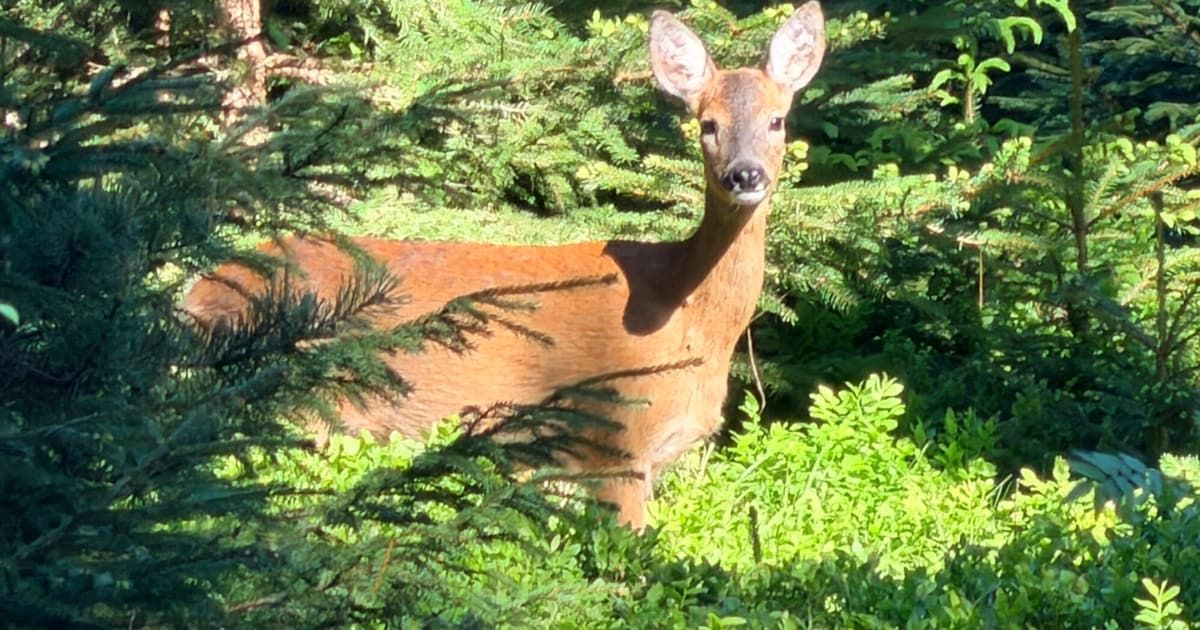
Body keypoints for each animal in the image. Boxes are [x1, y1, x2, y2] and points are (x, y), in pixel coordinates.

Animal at [183, 2, 826, 529]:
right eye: (707, 124)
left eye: (776, 121)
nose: (745, 175)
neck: (690, 315)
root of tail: (192, 297)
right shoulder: (615, 438)